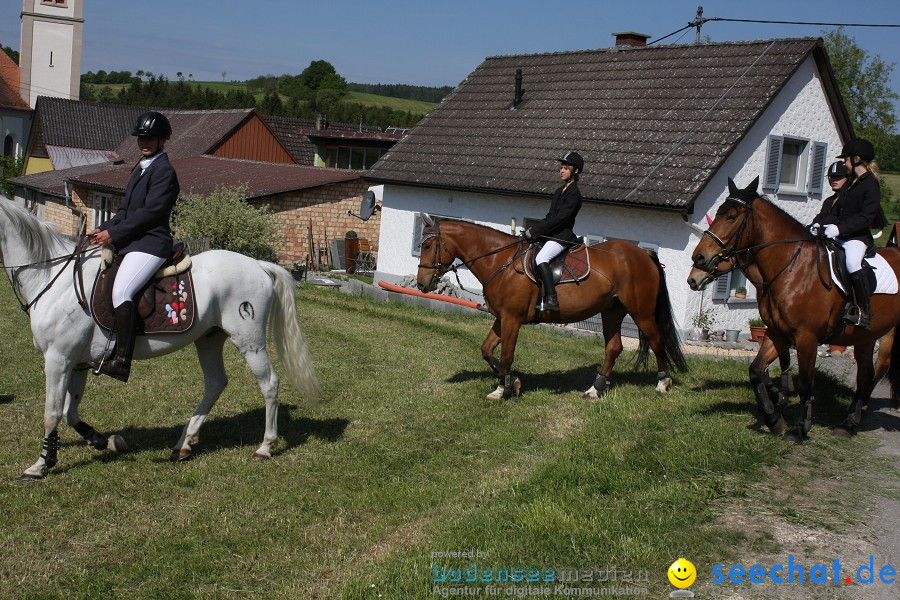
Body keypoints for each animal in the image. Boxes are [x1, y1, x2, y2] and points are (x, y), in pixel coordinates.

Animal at [0, 199, 324, 480]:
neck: (52, 277)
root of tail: (258, 265)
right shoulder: (76, 362)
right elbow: (70, 411)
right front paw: (105, 441)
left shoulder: (58, 359)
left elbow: (52, 413)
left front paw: (41, 465)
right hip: (209, 339)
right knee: (215, 383)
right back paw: (184, 444)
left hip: (249, 341)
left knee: (268, 383)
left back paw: (265, 447)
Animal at [416, 213, 688, 400]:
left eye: (427, 246)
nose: (422, 284)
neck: (500, 261)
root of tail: (643, 254)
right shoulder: (501, 317)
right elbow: (486, 349)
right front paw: (512, 383)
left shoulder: (512, 318)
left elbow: (506, 354)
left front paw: (503, 390)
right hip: (612, 310)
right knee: (614, 348)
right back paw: (595, 390)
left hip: (641, 311)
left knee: (656, 340)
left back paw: (663, 383)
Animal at [688, 176, 900, 442]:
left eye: (732, 216)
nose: (697, 261)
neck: (792, 269)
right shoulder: (777, 332)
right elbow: (756, 370)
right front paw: (773, 418)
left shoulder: (806, 337)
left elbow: (806, 384)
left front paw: (799, 428)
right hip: (865, 337)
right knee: (865, 375)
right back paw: (849, 423)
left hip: (887, 334)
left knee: (875, 372)